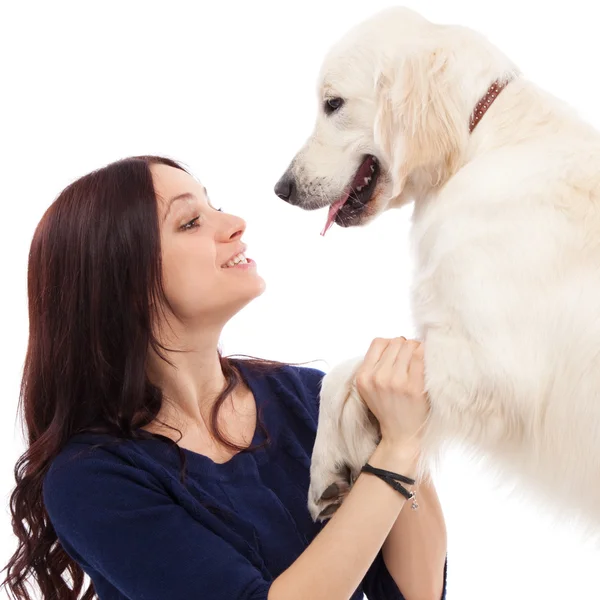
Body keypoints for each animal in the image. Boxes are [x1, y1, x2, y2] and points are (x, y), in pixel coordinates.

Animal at [274, 8, 600, 524]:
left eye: (332, 104)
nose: (281, 188)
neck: (476, 142)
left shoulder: (496, 373)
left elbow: (346, 368)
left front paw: (328, 465)